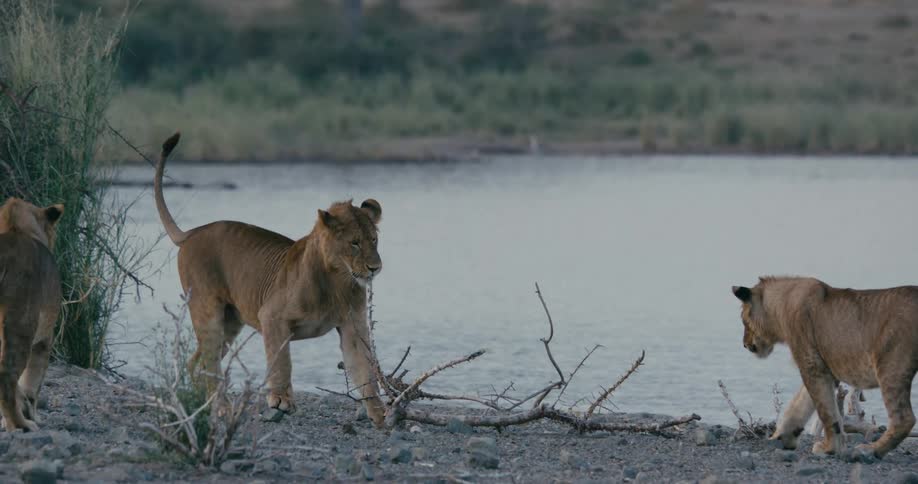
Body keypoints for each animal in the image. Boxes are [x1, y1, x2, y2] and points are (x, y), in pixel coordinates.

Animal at [0, 197, 64, 432]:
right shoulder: (45, 337)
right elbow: (32, 383)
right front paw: (31, 412)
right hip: (21, 322)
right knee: (6, 376)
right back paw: (21, 425)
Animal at [153, 133, 386, 427]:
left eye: (374, 240)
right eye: (354, 243)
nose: (375, 267)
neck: (338, 281)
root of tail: (192, 232)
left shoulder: (352, 326)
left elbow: (366, 369)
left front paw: (380, 414)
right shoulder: (272, 316)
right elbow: (281, 360)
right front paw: (282, 401)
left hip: (231, 320)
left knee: (197, 363)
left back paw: (202, 404)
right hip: (207, 310)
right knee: (210, 361)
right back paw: (221, 408)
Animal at [732, 276, 918, 459]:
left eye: (743, 320)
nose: (744, 344)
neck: (781, 305)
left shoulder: (812, 365)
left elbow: (826, 411)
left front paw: (830, 447)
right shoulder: (822, 366)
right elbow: (799, 404)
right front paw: (783, 436)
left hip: (891, 367)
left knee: (904, 419)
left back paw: (869, 450)